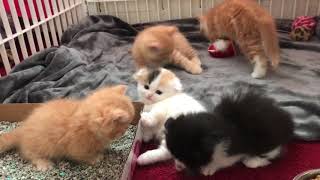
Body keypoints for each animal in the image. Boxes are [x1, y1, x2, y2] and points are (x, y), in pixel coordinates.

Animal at [0, 85, 134, 171]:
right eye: (124, 125)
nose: (124, 132)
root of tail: (22, 128)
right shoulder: (76, 147)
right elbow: (83, 155)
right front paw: (95, 158)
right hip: (40, 145)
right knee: (30, 154)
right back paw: (43, 163)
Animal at [165, 88, 296, 176]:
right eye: (174, 154)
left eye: (192, 155)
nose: (179, 166)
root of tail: (288, 122)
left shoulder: (234, 150)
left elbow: (223, 161)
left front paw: (208, 168)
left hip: (266, 139)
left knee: (274, 152)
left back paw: (254, 161)